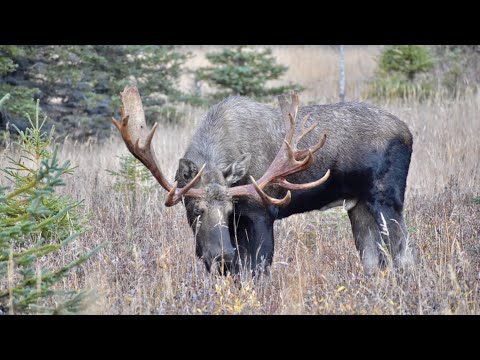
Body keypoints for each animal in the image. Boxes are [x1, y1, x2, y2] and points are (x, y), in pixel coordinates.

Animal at [113, 86, 412, 276]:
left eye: (229, 209)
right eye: (196, 210)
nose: (222, 256)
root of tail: (408, 133)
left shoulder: (261, 215)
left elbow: (257, 272)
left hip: (387, 198)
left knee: (402, 253)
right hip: (358, 203)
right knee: (373, 260)